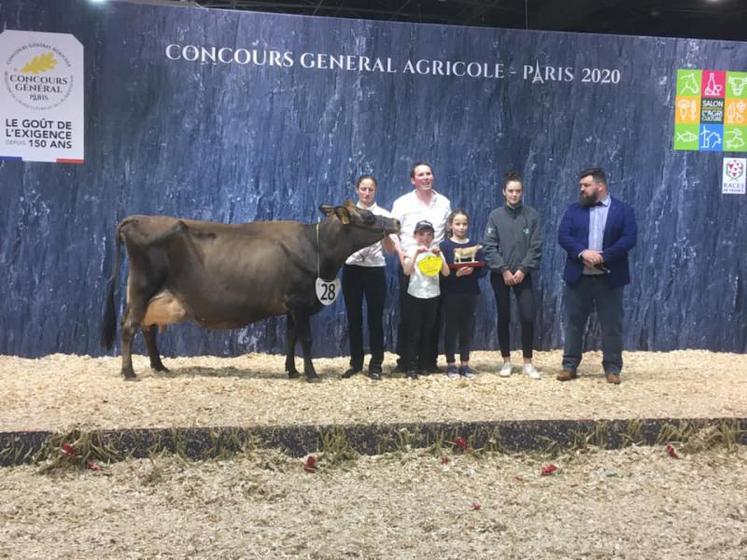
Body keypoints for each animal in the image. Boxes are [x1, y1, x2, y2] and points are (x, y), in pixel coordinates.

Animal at [103, 201, 404, 380]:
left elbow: (291, 337)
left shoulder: (291, 306)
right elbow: (306, 339)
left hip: (153, 295)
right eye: (368, 217)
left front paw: (292, 370)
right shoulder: (299, 301)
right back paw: (129, 372)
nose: (397, 222)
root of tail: (135, 219)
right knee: (129, 326)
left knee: (147, 328)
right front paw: (311, 373)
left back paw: (159, 366)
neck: (318, 247)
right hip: (142, 287)